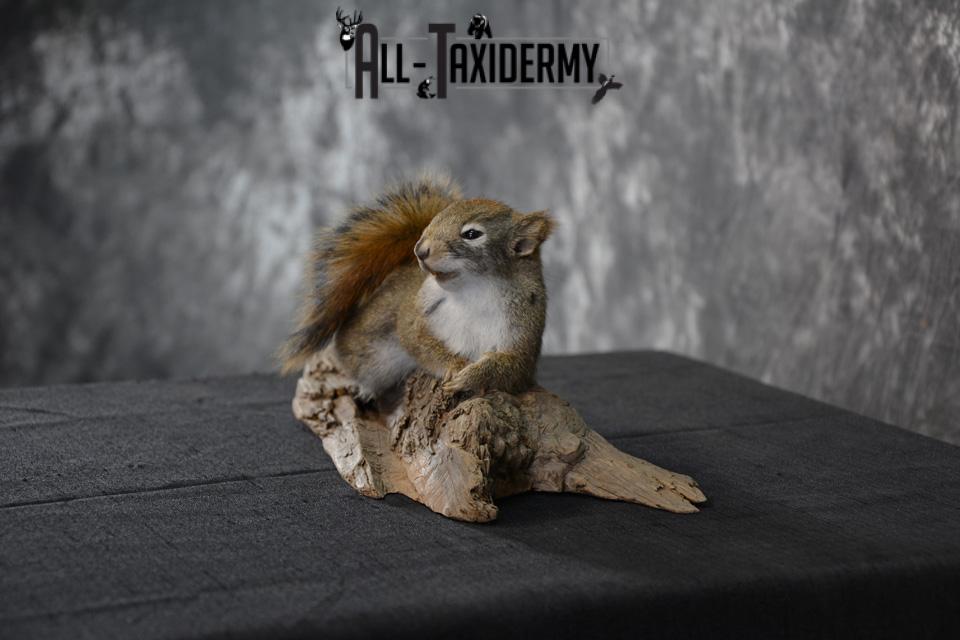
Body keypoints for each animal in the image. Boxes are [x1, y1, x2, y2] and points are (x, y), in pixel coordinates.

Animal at [281, 176, 553, 402]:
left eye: (472, 234)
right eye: (435, 220)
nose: (420, 250)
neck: (475, 288)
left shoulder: (524, 331)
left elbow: (511, 367)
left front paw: (469, 377)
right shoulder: (419, 308)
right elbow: (415, 336)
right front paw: (454, 365)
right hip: (370, 352)